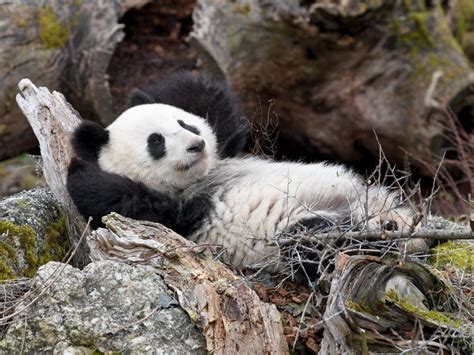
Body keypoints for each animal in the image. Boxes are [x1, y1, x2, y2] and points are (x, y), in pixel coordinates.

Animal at [67, 70, 418, 276]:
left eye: (185, 124)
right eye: (157, 142)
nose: (196, 146)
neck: (201, 178)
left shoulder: (226, 151)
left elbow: (210, 107)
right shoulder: (184, 219)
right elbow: (136, 208)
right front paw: (81, 172)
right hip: (296, 232)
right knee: (316, 243)